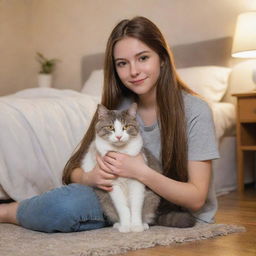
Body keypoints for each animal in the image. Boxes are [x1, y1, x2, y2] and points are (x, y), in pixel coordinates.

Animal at [81, 102, 195, 232]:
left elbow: (136, 206)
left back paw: (144, 224)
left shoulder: (137, 182)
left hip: (151, 199)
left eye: (126, 126)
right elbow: (123, 208)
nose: (119, 136)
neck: (121, 152)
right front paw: (126, 226)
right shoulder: (114, 186)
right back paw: (118, 225)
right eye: (110, 127)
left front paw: (136, 226)